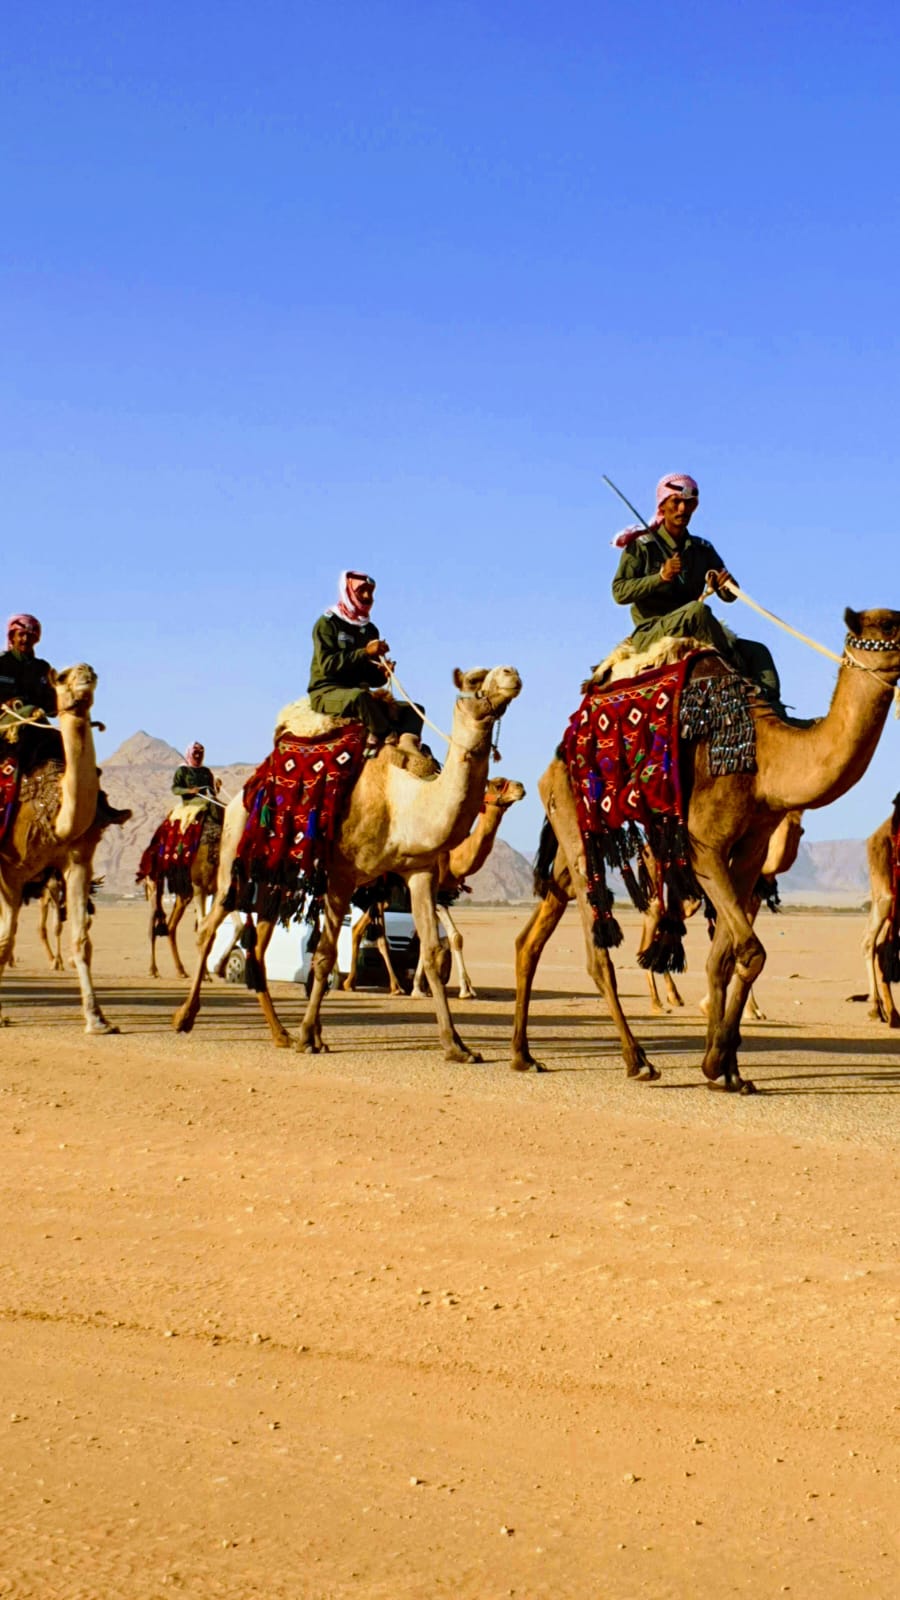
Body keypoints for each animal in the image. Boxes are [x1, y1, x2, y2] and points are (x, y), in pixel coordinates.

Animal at [0, 666, 129, 1032]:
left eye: (92, 673)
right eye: (62, 677)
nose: (86, 673)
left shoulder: (78, 860)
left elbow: (82, 941)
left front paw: (97, 1019)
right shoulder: (10, 871)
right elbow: (5, 941)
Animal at [341, 776, 527, 998]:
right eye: (499, 784)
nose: (521, 788)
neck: (454, 858)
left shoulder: (444, 897)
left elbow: (452, 938)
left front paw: (458, 988)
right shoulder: (435, 895)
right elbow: (436, 939)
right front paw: (424, 989)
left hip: (379, 893)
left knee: (363, 931)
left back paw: (385, 986)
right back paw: (353, 982)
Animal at [642, 810, 805, 1020]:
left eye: (800, 829)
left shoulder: (752, 898)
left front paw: (751, 1009)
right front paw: (714, 1006)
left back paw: (673, 997)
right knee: (655, 913)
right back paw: (656, 1003)